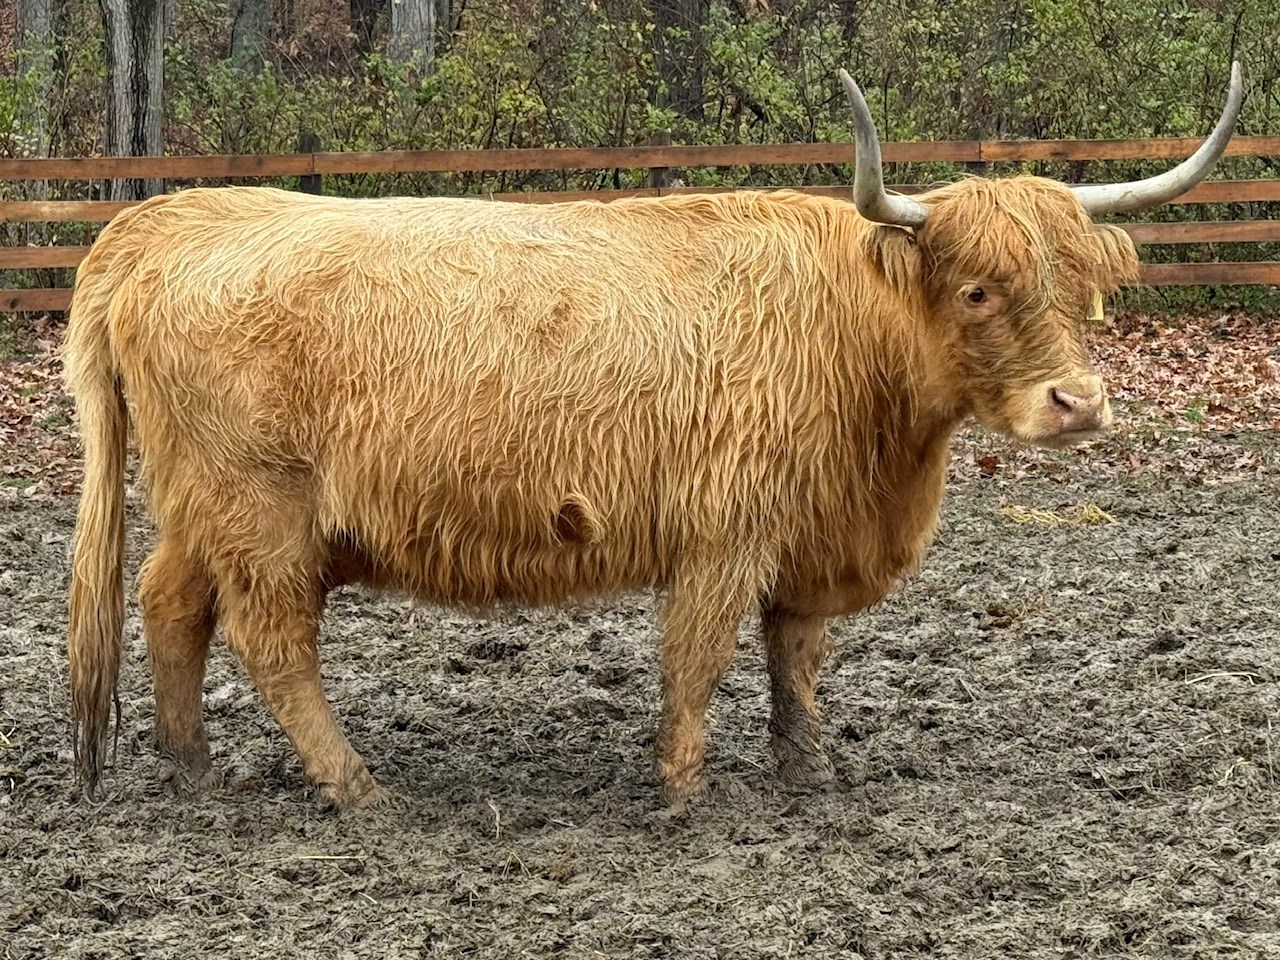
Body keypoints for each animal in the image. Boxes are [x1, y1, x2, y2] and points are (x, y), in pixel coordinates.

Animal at [65, 66, 1242, 808]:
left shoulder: (803, 537)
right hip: (261, 511)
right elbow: (700, 657)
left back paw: (195, 772)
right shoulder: (725, 532)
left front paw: (808, 775)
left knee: (171, 605)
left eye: (1082, 288)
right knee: (271, 641)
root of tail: (168, 218)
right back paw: (358, 789)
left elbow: (795, 655)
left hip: (204, 507)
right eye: (978, 288)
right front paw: (681, 789)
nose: (1077, 405)